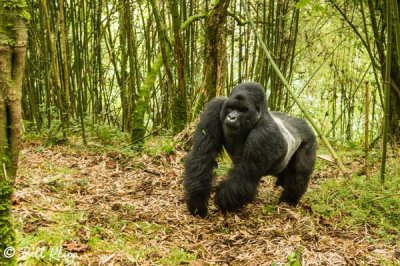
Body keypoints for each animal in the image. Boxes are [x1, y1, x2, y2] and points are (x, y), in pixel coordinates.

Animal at [183, 82, 318, 217]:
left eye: (243, 110)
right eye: (231, 107)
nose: (231, 117)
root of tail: (302, 121)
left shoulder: (264, 135)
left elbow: (245, 176)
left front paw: (221, 201)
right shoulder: (214, 108)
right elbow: (202, 156)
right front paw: (197, 201)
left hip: (310, 139)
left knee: (299, 172)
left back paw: (288, 200)